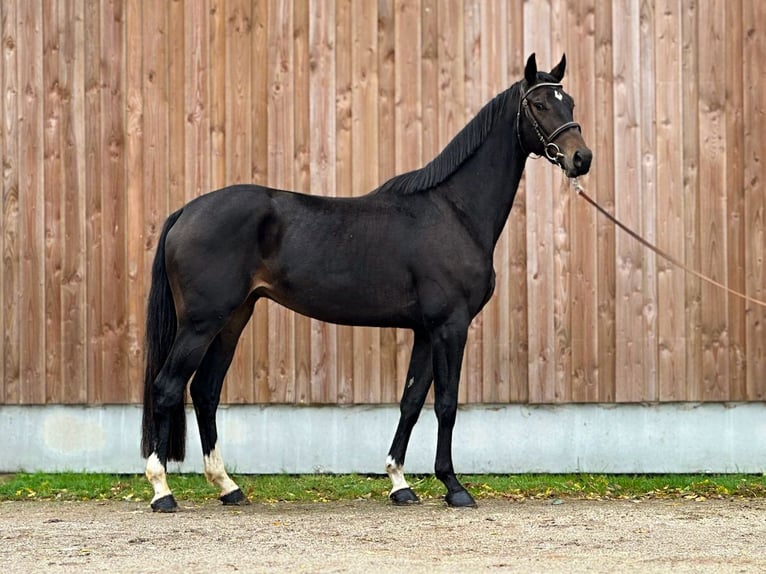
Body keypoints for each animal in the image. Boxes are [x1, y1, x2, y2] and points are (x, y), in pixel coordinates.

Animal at [141, 53, 592, 512]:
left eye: (570, 101)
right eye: (539, 105)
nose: (581, 158)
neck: (454, 212)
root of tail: (185, 212)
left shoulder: (426, 331)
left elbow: (411, 401)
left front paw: (399, 482)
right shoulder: (451, 327)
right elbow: (447, 404)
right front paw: (454, 486)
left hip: (232, 320)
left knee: (205, 391)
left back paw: (228, 487)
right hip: (201, 324)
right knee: (167, 387)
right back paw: (162, 491)